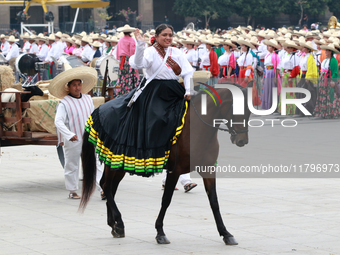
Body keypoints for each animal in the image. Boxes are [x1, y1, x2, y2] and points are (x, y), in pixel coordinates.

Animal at [78, 83, 251, 245]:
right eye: (236, 109)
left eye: (249, 112)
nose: (242, 141)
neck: (196, 129)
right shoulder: (175, 171)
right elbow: (166, 199)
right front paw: (160, 232)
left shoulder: (208, 169)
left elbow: (214, 202)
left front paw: (226, 233)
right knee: (106, 186)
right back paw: (119, 223)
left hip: (119, 164)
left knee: (110, 188)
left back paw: (113, 224)